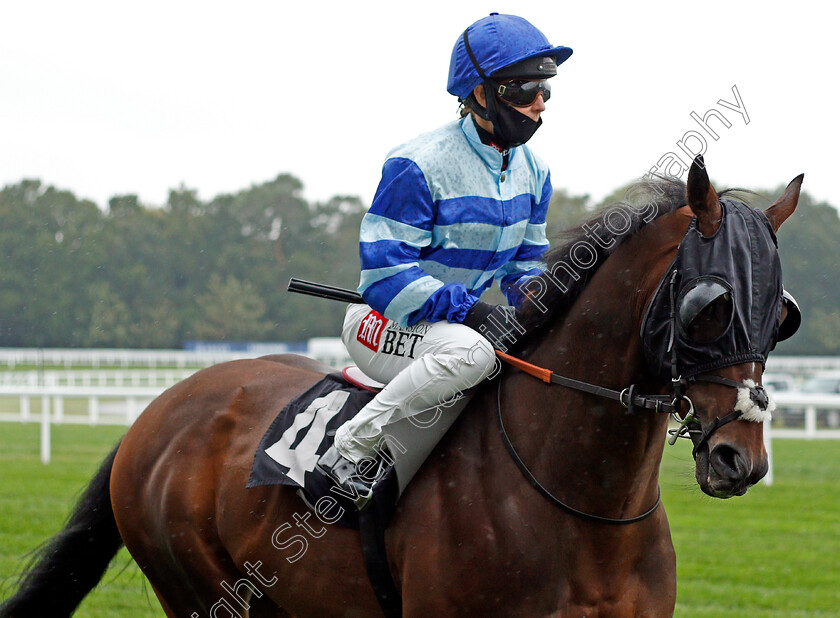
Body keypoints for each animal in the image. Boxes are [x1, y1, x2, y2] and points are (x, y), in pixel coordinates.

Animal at [0, 160, 800, 616]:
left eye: (781, 313)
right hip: (200, 591)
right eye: (711, 306)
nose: (742, 458)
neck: (582, 507)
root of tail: (156, 413)